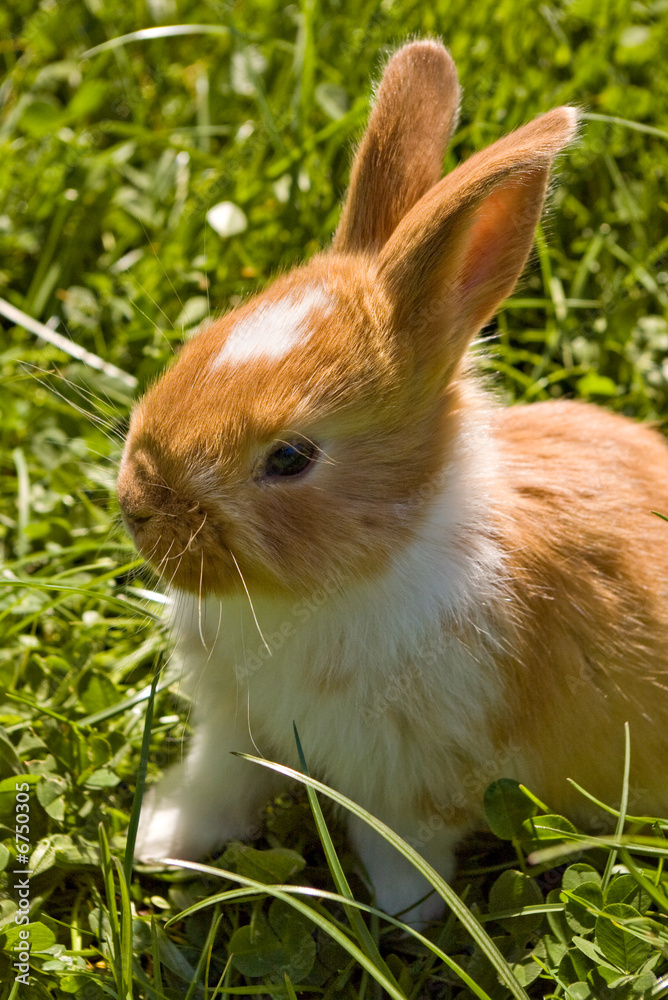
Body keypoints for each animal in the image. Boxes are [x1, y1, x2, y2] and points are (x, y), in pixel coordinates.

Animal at [117, 39, 668, 925]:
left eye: (290, 458)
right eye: (202, 339)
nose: (136, 505)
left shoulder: (407, 776)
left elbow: (402, 844)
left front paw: (404, 916)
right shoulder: (233, 726)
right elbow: (216, 789)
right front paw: (162, 841)